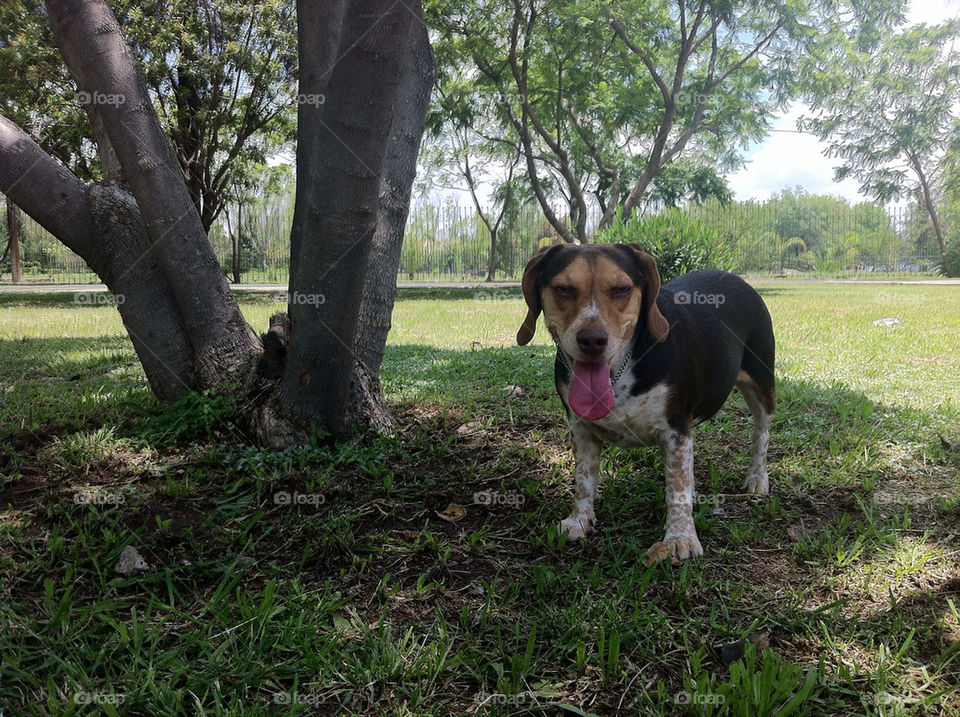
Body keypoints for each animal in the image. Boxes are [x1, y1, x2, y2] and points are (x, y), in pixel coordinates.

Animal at [516, 243, 772, 564]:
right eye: (563, 288)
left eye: (621, 289)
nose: (592, 339)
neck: (622, 372)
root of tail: (734, 276)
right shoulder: (581, 430)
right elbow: (584, 480)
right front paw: (579, 521)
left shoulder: (676, 430)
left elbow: (676, 486)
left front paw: (680, 538)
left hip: (761, 382)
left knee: (761, 432)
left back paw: (757, 477)